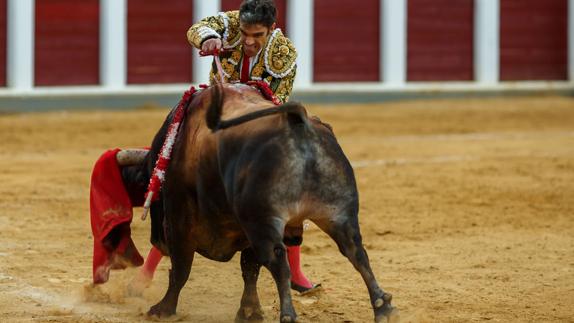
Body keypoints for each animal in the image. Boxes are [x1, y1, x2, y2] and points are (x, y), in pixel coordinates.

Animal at [129, 84, 400, 323]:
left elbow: (181, 270)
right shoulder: (242, 229)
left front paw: (163, 310)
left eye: (148, 187)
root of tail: (297, 122)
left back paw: (288, 315)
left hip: (262, 221)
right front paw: (249, 312)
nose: (157, 240)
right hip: (338, 213)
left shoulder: (180, 220)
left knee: (278, 261)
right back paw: (383, 307)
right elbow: (250, 269)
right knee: (356, 252)